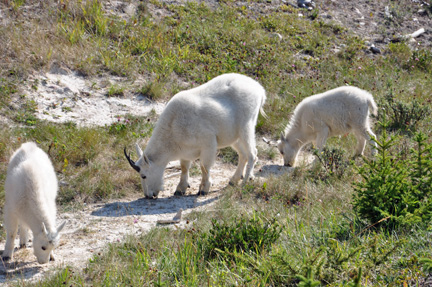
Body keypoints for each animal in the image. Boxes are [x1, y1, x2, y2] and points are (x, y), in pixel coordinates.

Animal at [125, 73, 266, 199]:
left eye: (143, 175)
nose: (148, 196)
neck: (173, 126)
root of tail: (259, 89)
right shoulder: (184, 150)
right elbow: (184, 167)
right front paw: (180, 189)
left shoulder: (208, 143)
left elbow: (204, 167)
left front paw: (204, 189)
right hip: (233, 136)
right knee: (243, 155)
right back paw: (233, 180)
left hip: (246, 126)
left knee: (252, 153)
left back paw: (245, 182)